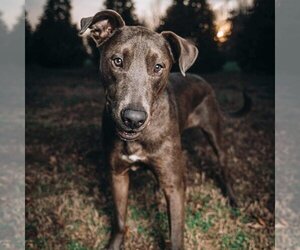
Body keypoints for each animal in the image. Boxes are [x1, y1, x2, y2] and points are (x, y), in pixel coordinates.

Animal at [79, 8, 251, 249]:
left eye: (158, 67)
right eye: (117, 61)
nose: (133, 119)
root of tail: (203, 81)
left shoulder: (175, 186)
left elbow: (176, 234)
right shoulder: (117, 175)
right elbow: (120, 220)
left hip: (215, 133)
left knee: (224, 165)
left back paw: (233, 199)